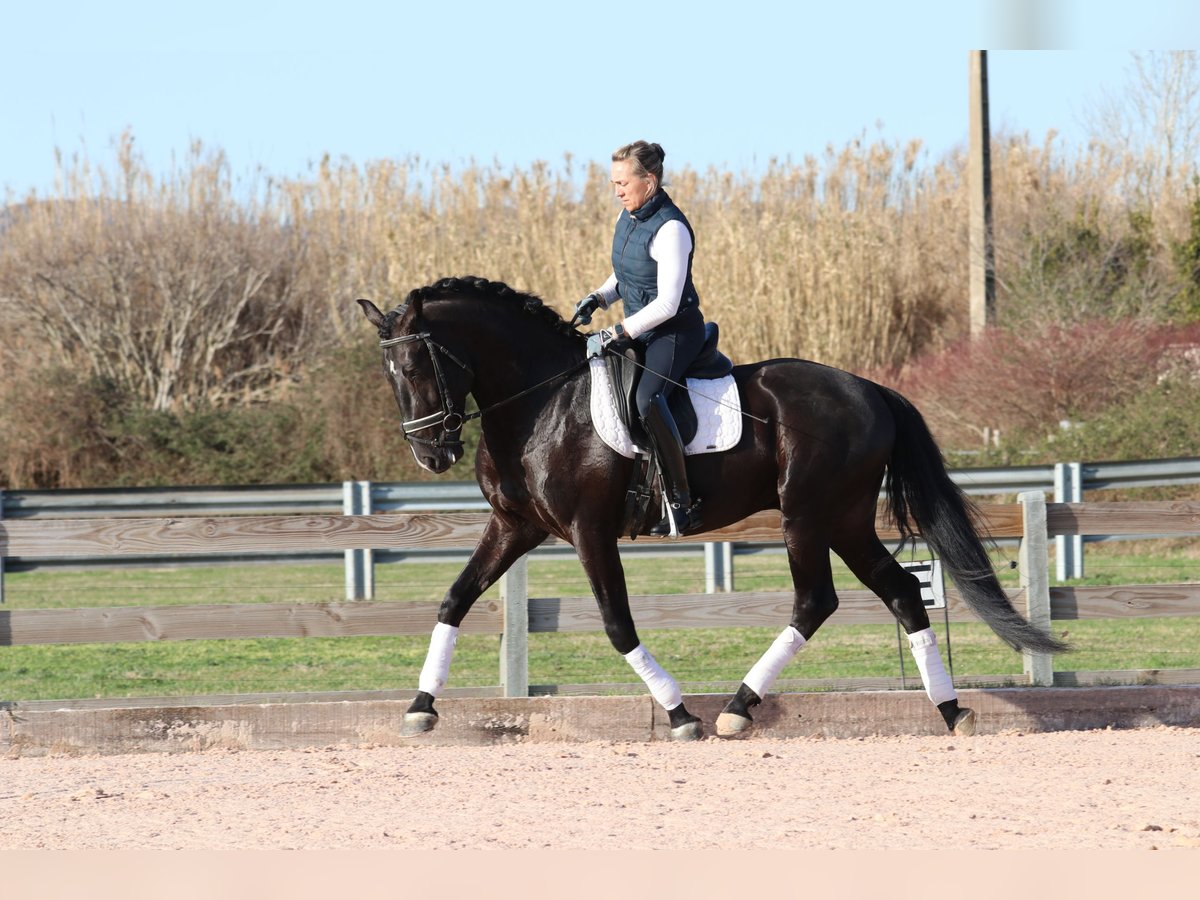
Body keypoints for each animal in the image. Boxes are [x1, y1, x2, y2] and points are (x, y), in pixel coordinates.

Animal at [357, 278, 1070, 744]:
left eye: (417, 365)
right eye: (390, 374)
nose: (431, 454)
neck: (541, 405)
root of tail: (869, 389)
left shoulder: (590, 531)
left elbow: (617, 623)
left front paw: (679, 715)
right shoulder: (516, 527)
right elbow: (454, 599)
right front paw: (421, 706)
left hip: (807, 516)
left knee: (816, 601)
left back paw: (737, 708)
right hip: (843, 519)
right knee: (898, 590)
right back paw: (950, 711)